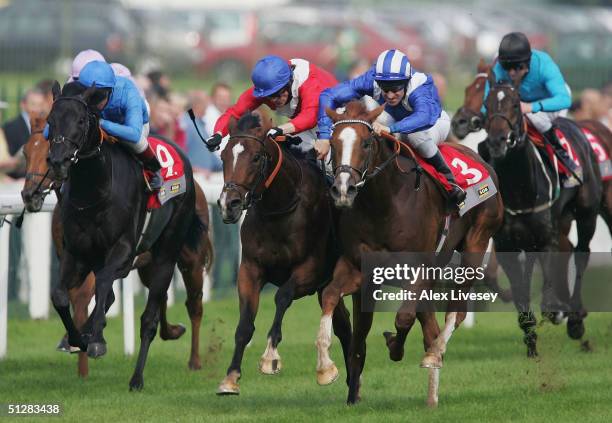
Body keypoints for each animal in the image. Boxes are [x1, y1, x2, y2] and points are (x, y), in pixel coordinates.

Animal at [216, 113, 352, 398]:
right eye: (223, 155)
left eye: (256, 157)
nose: (228, 205)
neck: (279, 209)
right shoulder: (250, 269)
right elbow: (245, 325)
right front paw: (230, 378)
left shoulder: (310, 271)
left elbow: (282, 296)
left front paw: (270, 357)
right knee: (344, 326)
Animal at [314, 100, 504, 408]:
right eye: (332, 143)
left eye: (366, 143)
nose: (343, 189)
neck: (383, 205)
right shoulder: (359, 268)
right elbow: (331, 297)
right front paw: (326, 369)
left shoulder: (418, 269)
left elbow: (403, 318)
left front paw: (395, 347)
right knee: (429, 325)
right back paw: (431, 391)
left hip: (477, 243)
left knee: (455, 313)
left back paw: (435, 355)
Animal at [482, 77, 604, 358]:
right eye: (488, 103)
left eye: (516, 104)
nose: (497, 141)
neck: (520, 188)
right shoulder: (508, 245)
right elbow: (520, 293)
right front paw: (530, 341)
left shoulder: (546, 239)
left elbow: (547, 289)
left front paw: (557, 311)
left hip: (587, 214)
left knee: (581, 254)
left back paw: (575, 320)